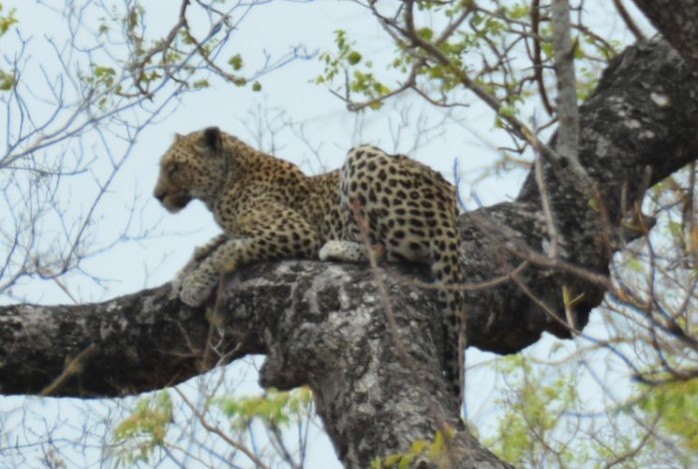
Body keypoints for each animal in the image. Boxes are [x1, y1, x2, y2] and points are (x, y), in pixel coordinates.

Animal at [155, 125, 464, 402]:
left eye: (176, 167)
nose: (157, 196)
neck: (225, 186)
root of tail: (448, 209)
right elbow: (210, 245)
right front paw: (183, 274)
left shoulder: (294, 231)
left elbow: (228, 249)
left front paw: (195, 285)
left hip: (360, 157)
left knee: (382, 250)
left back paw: (336, 248)